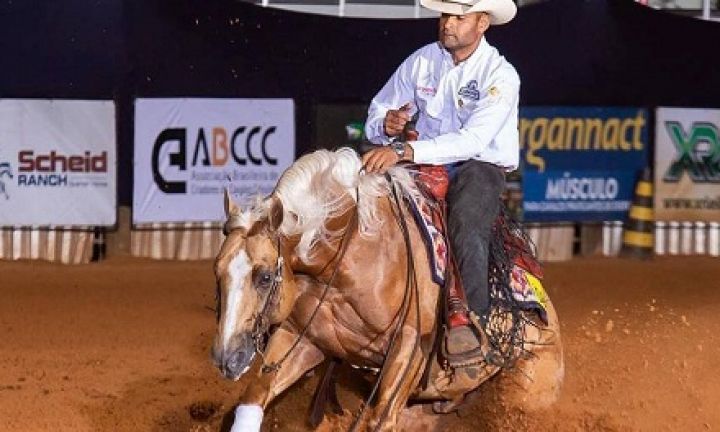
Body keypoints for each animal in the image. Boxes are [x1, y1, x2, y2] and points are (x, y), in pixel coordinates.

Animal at [211, 148, 564, 428]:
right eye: (218, 273)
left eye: (264, 277)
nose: (227, 358)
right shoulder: (302, 337)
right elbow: (254, 396)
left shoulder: (409, 349)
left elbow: (379, 419)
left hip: (528, 395)